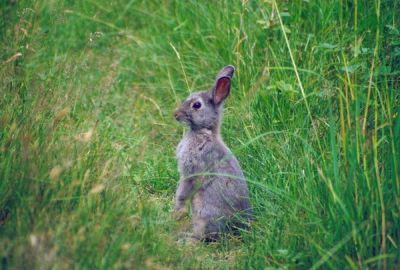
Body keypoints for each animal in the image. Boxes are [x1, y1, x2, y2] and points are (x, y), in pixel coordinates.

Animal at [173, 65, 252, 240]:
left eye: (196, 105)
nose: (175, 114)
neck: (204, 131)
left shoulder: (192, 170)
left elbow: (183, 191)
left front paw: (177, 212)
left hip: (204, 213)